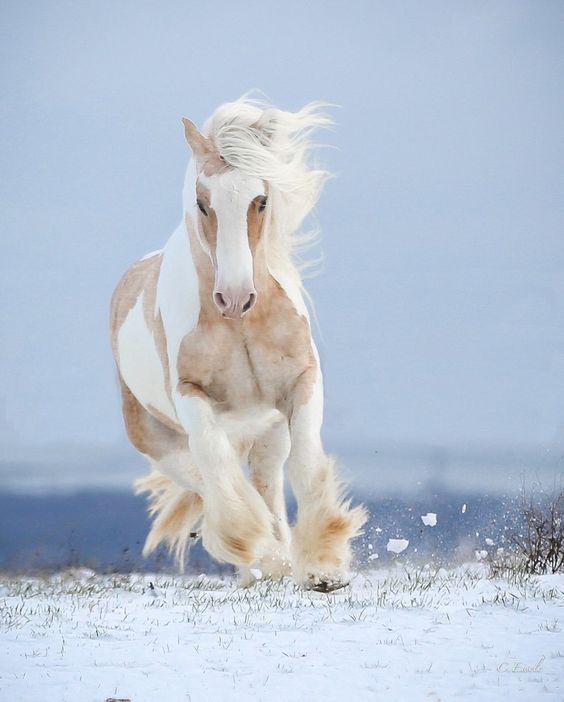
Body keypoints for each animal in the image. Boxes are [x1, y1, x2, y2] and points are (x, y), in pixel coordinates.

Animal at [109, 96, 366, 592]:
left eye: (260, 200)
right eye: (201, 202)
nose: (234, 298)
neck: (242, 328)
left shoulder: (302, 383)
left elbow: (306, 466)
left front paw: (323, 567)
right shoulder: (191, 397)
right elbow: (220, 472)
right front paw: (269, 556)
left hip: (268, 431)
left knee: (265, 482)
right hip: (160, 439)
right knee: (211, 479)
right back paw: (263, 561)